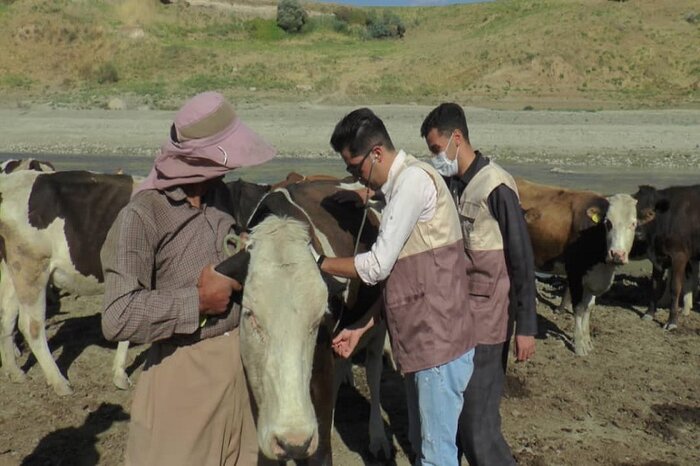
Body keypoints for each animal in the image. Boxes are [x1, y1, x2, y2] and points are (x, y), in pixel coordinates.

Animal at [516, 178, 640, 356]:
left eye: (633, 224)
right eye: (608, 223)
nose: (617, 254)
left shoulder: (593, 277)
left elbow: (589, 307)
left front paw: (587, 341)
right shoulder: (574, 273)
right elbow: (579, 308)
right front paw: (580, 345)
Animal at [636, 184, 700, 330]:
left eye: (650, 213)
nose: (638, 234)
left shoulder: (679, 257)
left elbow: (675, 288)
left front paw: (672, 321)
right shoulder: (656, 257)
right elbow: (655, 285)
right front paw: (649, 313)